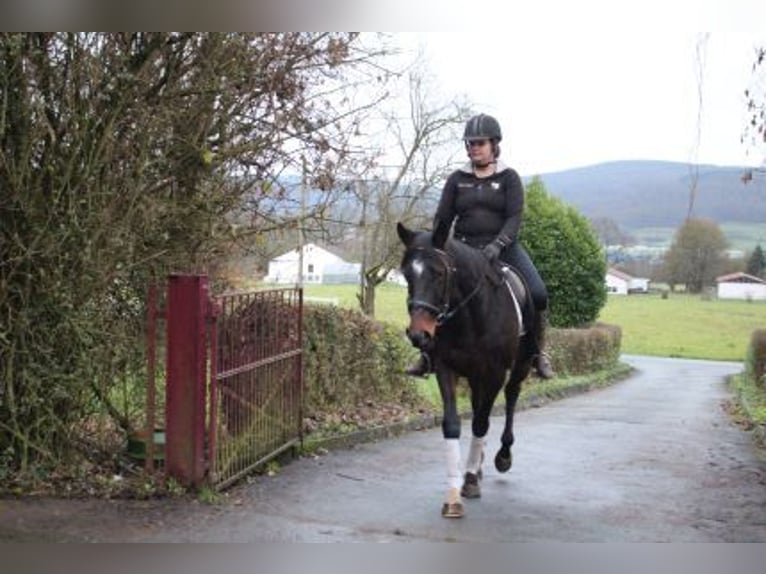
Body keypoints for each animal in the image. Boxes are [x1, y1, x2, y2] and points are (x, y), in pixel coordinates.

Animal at [400, 223, 536, 520]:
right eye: (406, 274)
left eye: (438, 273)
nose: (418, 335)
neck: (472, 313)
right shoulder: (445, 368)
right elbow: (453, 424)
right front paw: (453, 495)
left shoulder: (495, 373)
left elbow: (481, 423)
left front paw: (471, 480)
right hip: (475, 376)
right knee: (477, 405)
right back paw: (479, 462)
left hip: (516, 368)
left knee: (511, 397)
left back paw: (502, 456)